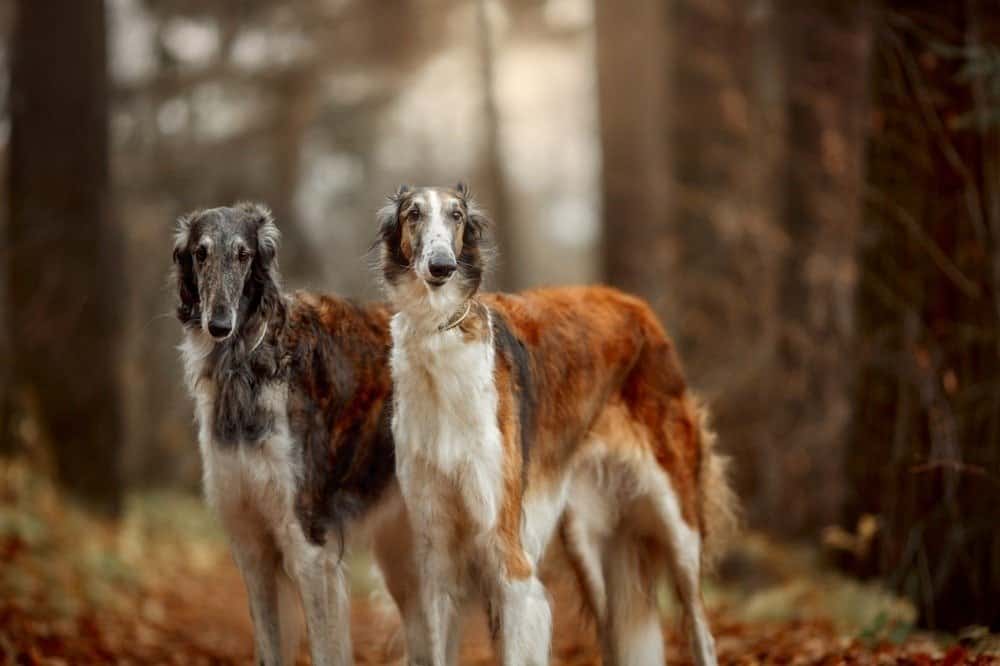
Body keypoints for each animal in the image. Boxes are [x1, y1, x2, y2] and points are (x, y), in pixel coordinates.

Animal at [176, 204, 418, 664]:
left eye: (244, 254)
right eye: (200, 253)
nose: (219, 324)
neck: (249, 364)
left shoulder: (309, 545)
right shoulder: (251, 544)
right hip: (405, 554)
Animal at [376, 183, 736, 664]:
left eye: (456, 216)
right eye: (413, 214)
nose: (441, 267)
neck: (440, 332)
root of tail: (639, 306)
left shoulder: (508, 555)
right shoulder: (436, 557)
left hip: (677, 522)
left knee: (701, 631)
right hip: (589, 540)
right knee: (613, 634)